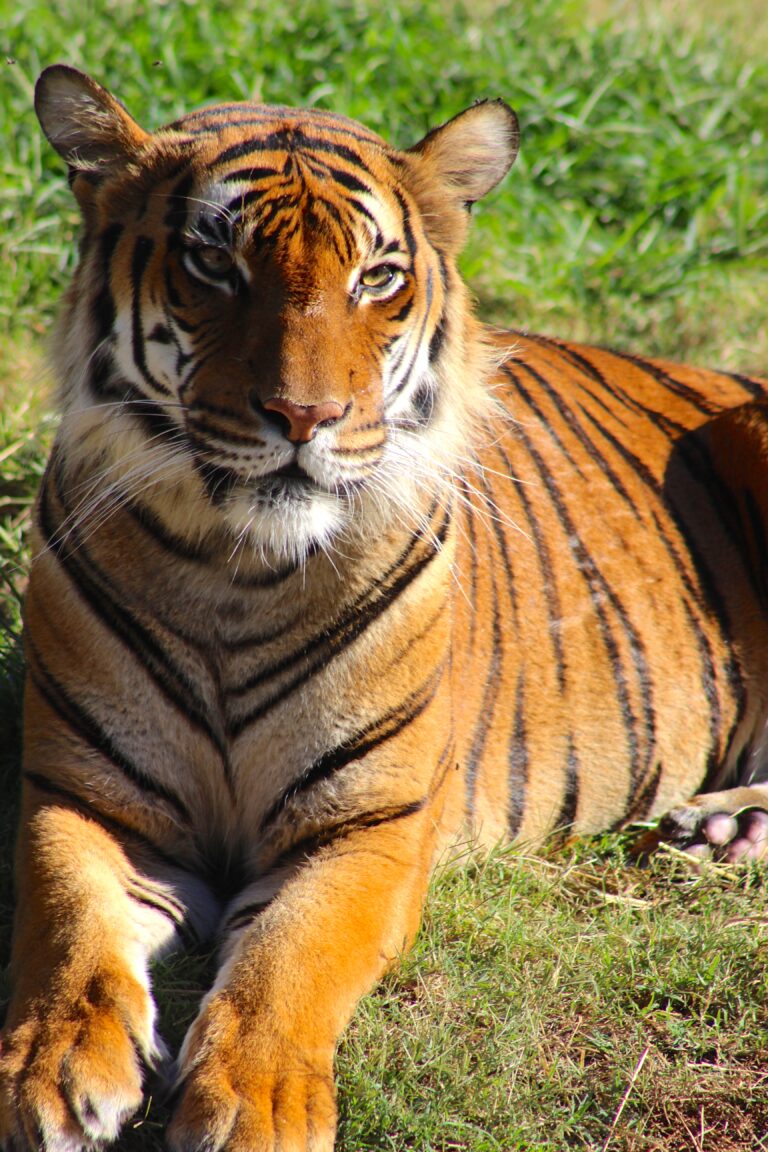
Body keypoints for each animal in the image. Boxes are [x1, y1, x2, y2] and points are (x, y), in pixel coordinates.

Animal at [1, 62, 768, 1152]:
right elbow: (67, 921)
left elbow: (292, 958)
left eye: (376, 278)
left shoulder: (371, 826)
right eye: (214, 264)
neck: (234, 568)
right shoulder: (82, 795)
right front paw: (55, 1072)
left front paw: (257, 1111)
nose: (305, 417)